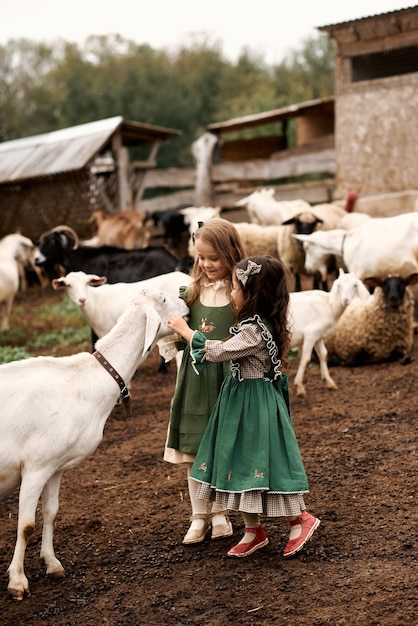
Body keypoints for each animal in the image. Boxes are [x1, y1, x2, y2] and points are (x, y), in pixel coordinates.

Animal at [0, 288, 188, 600]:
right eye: (162, 300)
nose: (186, 304)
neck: (88, 378)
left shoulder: (54, 467)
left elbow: (51, 513)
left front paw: (52, 564)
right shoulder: (35, 466)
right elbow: (26, 525)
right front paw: (17, 581)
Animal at [288, 266, 370, 394]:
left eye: (355, 285)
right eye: (339, 285)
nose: (345, 300)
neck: (328, 306)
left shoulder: (318, 336)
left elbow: (324, 354)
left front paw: (329, 382)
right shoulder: (310, 334)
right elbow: (306, 359)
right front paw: (300, 387)